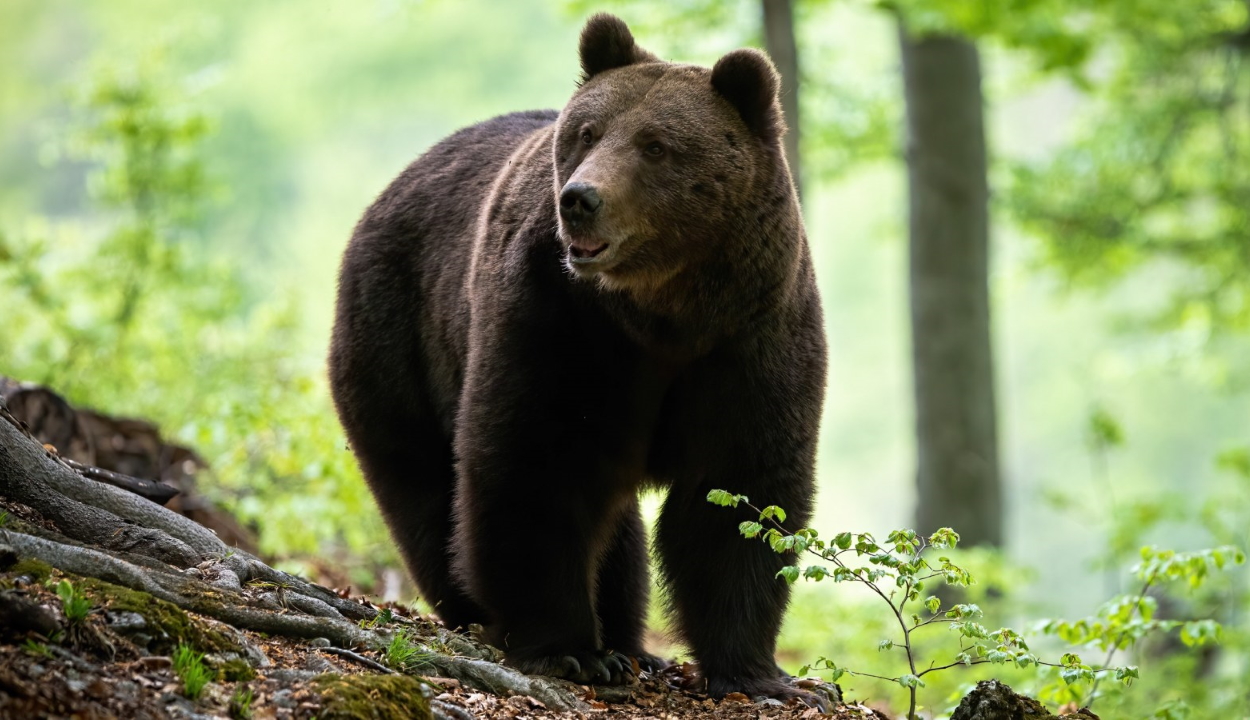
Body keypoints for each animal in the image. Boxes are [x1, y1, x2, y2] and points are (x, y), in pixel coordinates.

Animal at [327, 14, 825, 705]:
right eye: (588, 132)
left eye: (655, 145)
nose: (580, 199)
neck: (664, 312)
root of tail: (393, 185)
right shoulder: (562, 323)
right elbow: (536, 460)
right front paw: (567, 649)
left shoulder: (752, 336)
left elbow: (740, 491)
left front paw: (761, 674)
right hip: (398, 332)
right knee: (423, 481)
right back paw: (495, 616)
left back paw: (626, 640)